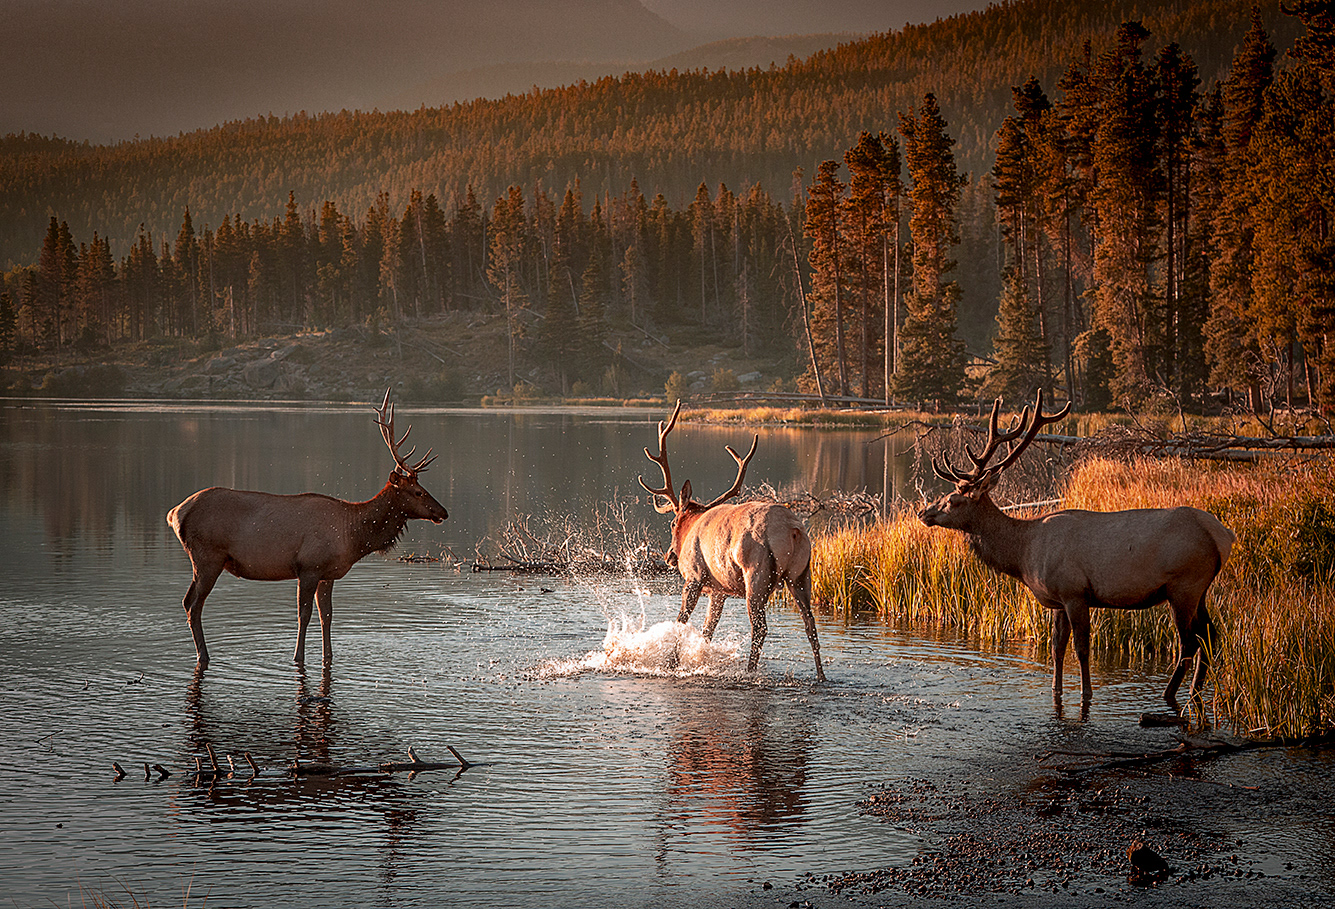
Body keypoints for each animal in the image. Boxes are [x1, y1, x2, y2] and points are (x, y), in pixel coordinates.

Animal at [167, 388, 448, 668]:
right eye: (418, 492)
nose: (443, 512)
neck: (353, 535)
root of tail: (175, 513)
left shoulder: (327, 573)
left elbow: (328, 616)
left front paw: (329, 656)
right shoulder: (309, 567)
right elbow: (304, 615)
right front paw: (298, 656)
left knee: (187, 601)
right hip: (207, 557)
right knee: (193, 604)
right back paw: (203, 655)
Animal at [639, 401, 825, 681]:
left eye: (672, 523)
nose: (669, 556)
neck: (692, 525)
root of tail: (792, 530)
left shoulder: (694, 576)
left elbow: (681, 622)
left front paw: (671, 664)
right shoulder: (719, 590)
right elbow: (707, 631)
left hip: (757, 575)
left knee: (760, 628)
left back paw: (750, 671)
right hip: (801, 575)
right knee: (810, 625)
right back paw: (821, 676)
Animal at [917, 391, 1234, 708]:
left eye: (953, 500)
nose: (923, 512)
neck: (1024, 553)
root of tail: (1223, 535)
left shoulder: (1075, 593)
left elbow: (1081, 648)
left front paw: (1086, 693)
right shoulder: (1057, 599)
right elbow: (1057, 647)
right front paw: (1055, 690)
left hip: (1183, 585)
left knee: (1189, 642)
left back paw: (1170, 694)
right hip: (1199, 589)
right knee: (1210, 635)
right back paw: (1194, 692)